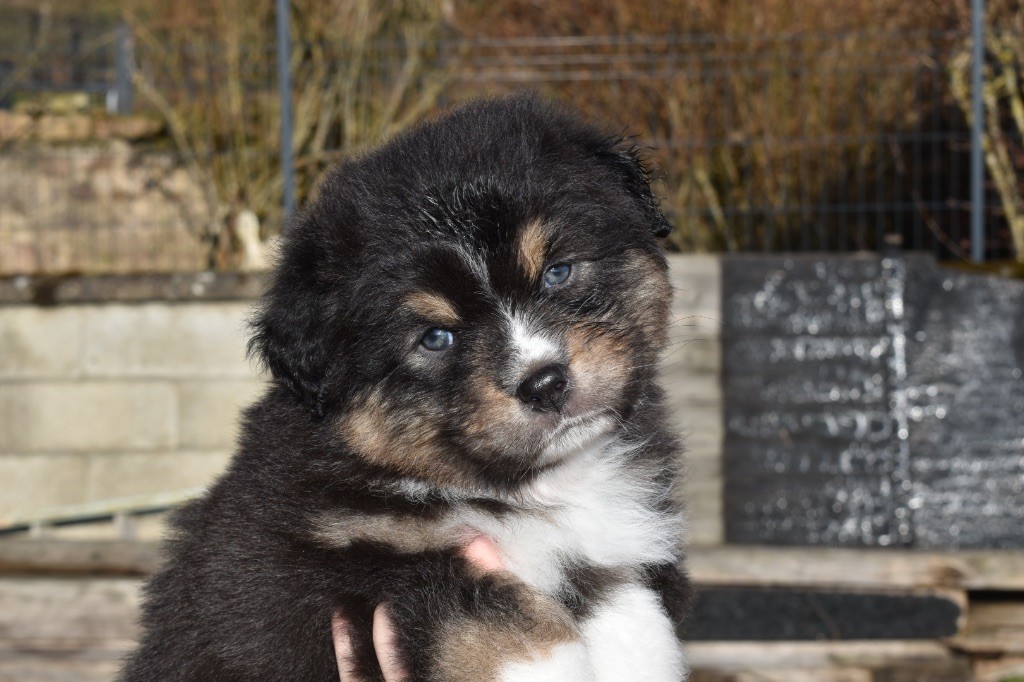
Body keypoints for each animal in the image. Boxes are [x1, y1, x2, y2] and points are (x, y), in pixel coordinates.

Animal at [123, 94, 692, 679]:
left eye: (557, 272)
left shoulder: (605, 553)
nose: (545, 383)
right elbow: (514, 630)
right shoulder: (357, 560)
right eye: (435, 337)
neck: (540, 488)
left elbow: (637, 624)